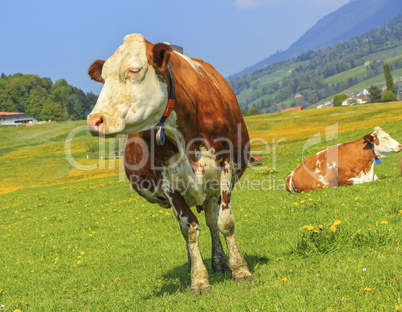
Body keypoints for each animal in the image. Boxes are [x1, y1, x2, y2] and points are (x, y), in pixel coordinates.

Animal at [86, 34, 253, 294]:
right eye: (103, 77)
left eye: (134, 70)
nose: (95, 120)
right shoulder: (167, 180)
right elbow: (189, 229)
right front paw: (199, 280)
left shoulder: (224, 165)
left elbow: (225, 222)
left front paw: (240, 269)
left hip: (212, 189)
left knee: (212, 221)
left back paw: (220, 263)